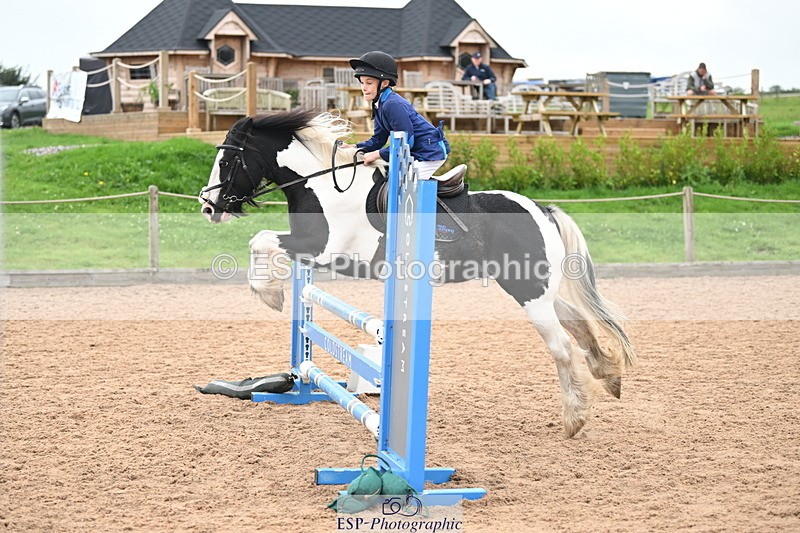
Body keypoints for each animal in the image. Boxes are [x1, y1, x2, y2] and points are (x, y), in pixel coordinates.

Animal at [199, 108, 635, 437]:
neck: (324, 189)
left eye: (226, 160)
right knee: (577, 322)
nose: (208, 207)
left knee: (561, 346)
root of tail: (542, 209)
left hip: (529, 292)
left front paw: (269, 295)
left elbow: (261, 239)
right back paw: (609, 376)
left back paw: (575, 418)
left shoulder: (323, 251)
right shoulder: (312, 250)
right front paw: (272, 293)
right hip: (531, 287)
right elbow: (263, 242)